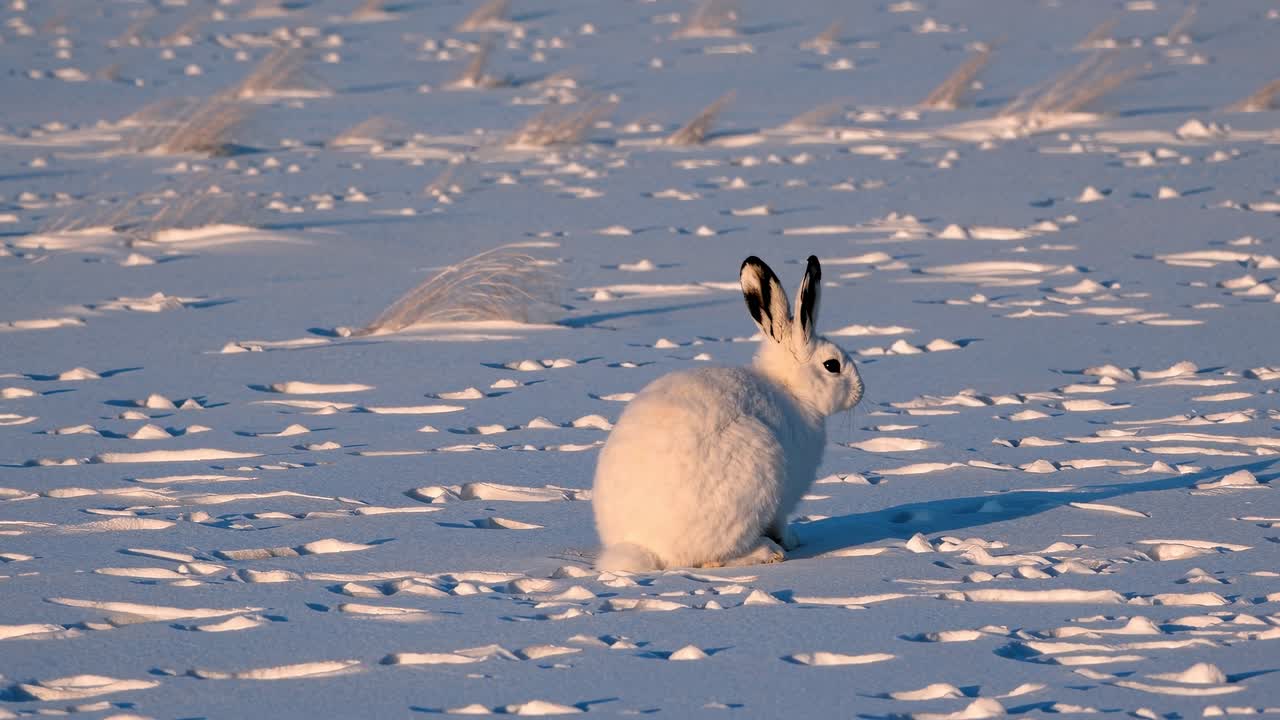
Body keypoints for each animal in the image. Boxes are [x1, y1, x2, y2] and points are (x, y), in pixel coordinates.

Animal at [592, 255, 864, 571]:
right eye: (832, 366)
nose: (860, 391)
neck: (791, 389)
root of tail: (644, 546)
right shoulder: (782, 503)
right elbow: (780, 523)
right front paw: (790, 540)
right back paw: (767, 552)